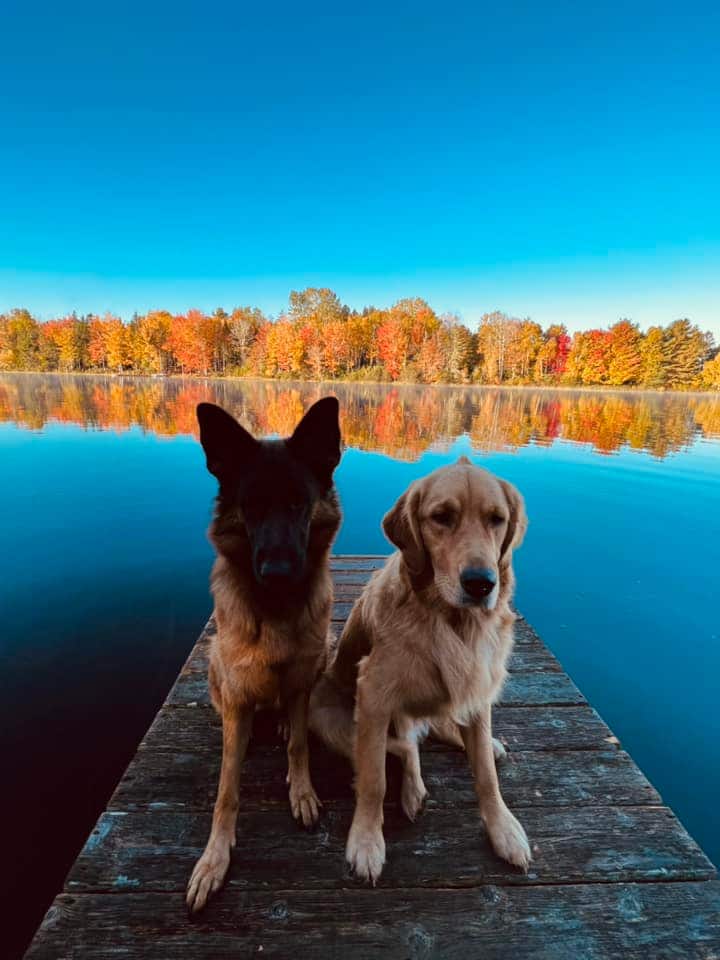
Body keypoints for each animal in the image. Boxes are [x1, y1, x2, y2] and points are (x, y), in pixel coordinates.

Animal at [186, 397, 342, 912]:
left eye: (297, 504)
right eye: (251, 508)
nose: (276, 571)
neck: (275, 610)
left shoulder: (301, 677)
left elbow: (298, 745)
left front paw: (303, 790)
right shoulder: (236, 693)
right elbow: (226, 789)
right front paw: (214, 858)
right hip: (214, 662)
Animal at [309, 457, 529, 884]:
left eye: (497, 519)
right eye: (441, 517)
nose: (481, 583)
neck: (451, 620)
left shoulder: (477, 689)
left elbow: (486, 776)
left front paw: (504, 830)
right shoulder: (373, 694)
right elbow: (374, 779)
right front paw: (366, 840)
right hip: (326, 715)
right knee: (402, 746)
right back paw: (412, 791)